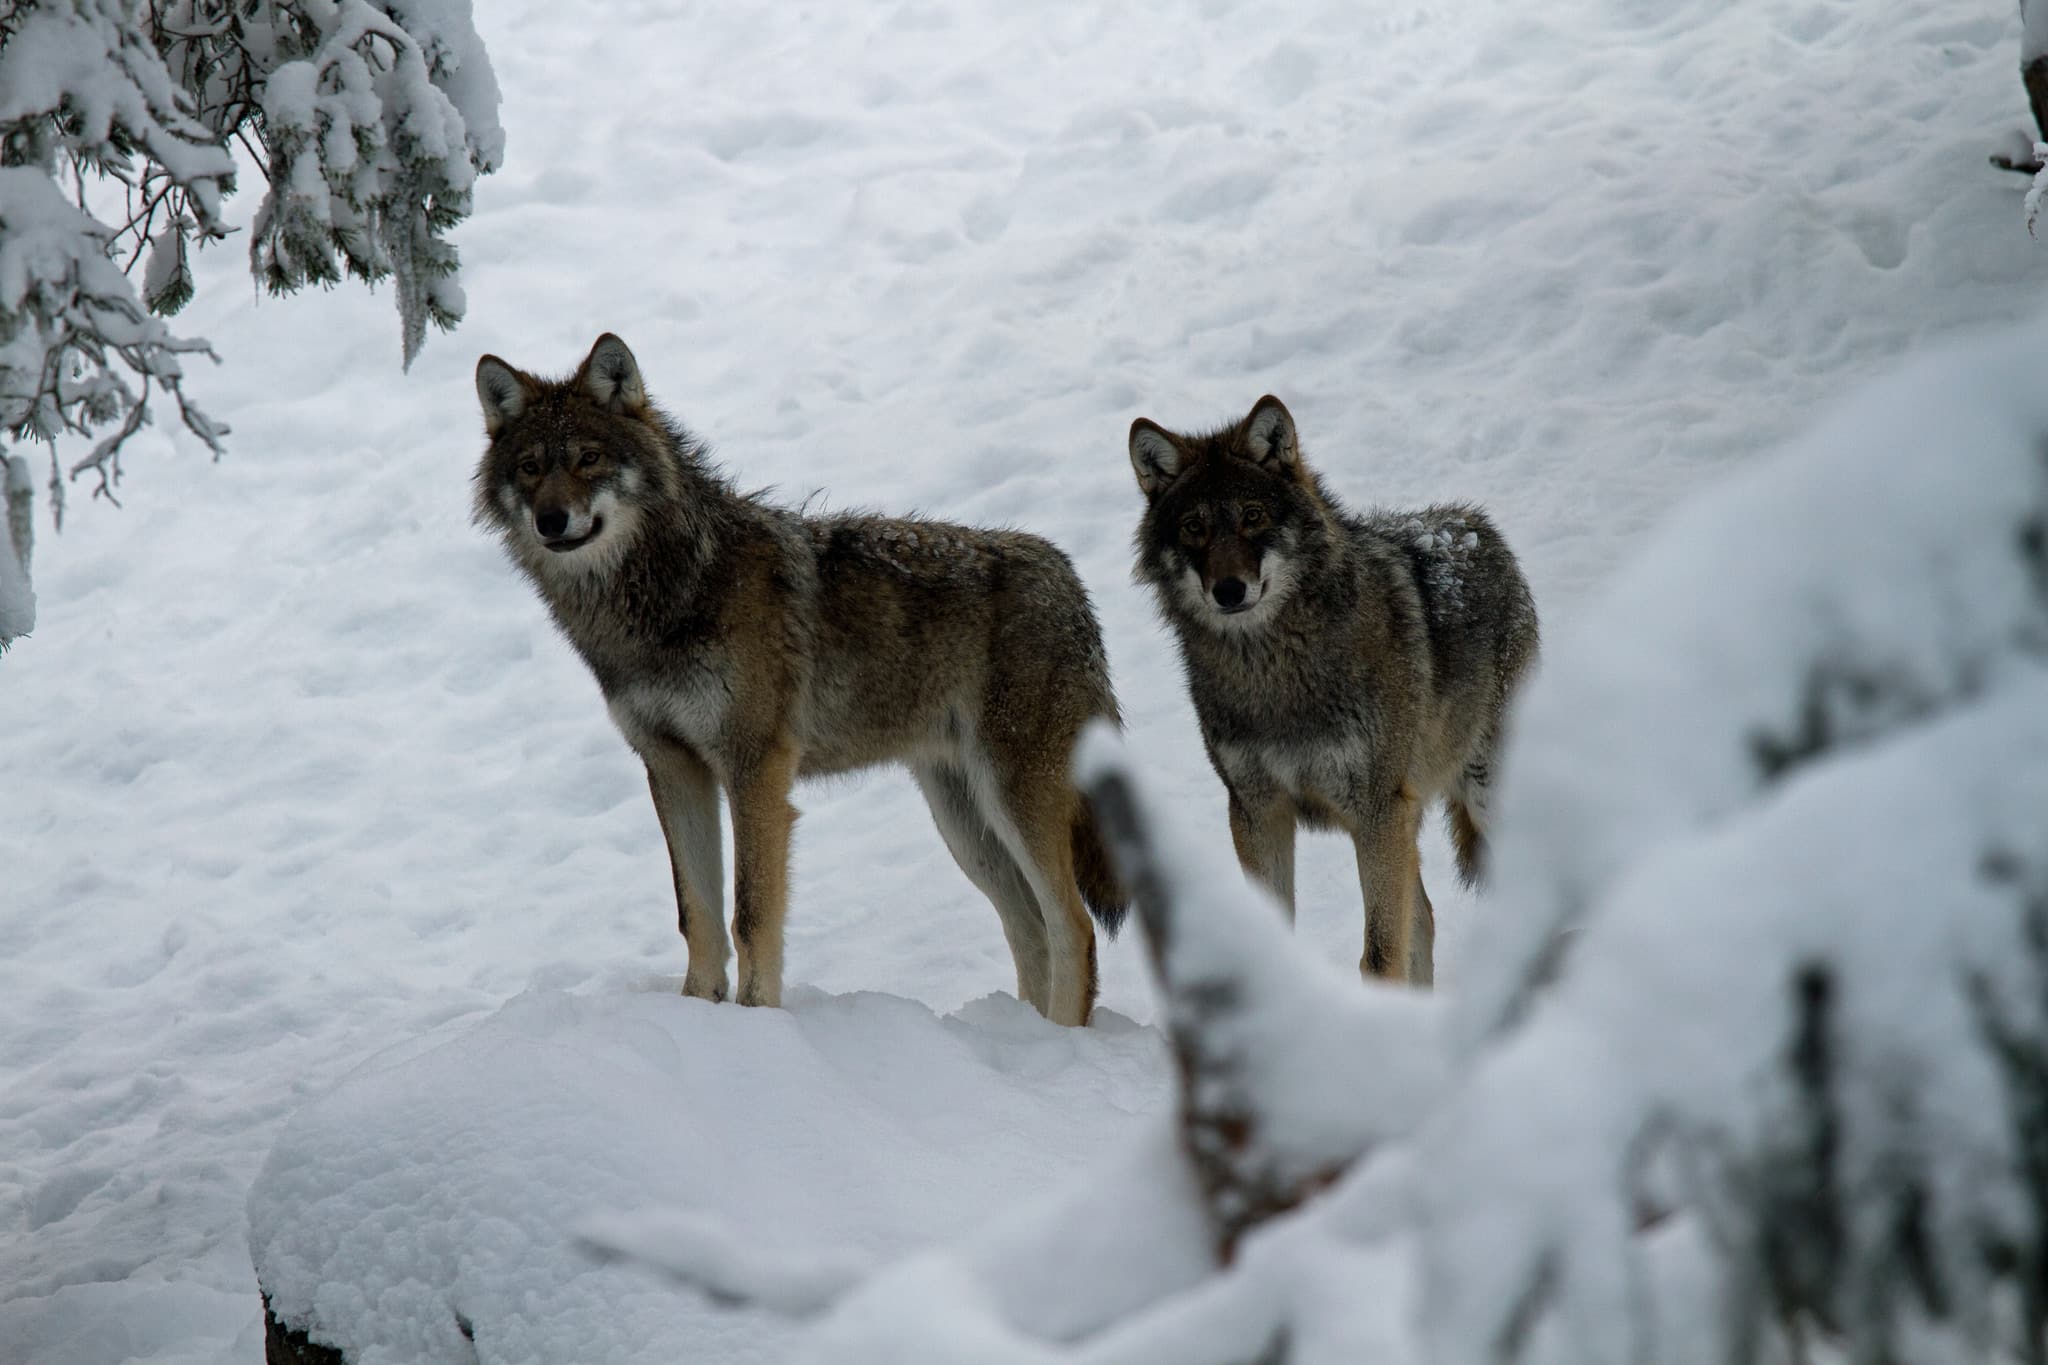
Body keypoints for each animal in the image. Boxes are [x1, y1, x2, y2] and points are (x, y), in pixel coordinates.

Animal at [473, 335, 1130, 1023]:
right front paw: (695, 1010)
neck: (667, 597)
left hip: (1014, 802)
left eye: (589, 458)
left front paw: (757, 1019)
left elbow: (751, 916)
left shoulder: (755, 769)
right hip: (964, 824)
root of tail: (1065, 577)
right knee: (1028, 928)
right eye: (529, 468)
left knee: (1074, 926)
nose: (551, 520)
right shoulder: (672, 767)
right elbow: (696, 914)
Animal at [1122, 392, 1540, 982]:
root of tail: (1476, 524)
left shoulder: (1376, 813)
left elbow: (1380, 957)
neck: (1273, 676)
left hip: (1480, 796)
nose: (1229, 591)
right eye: (1193, 527)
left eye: (1253, 517)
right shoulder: (1256, 810)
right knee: (1426, 919)